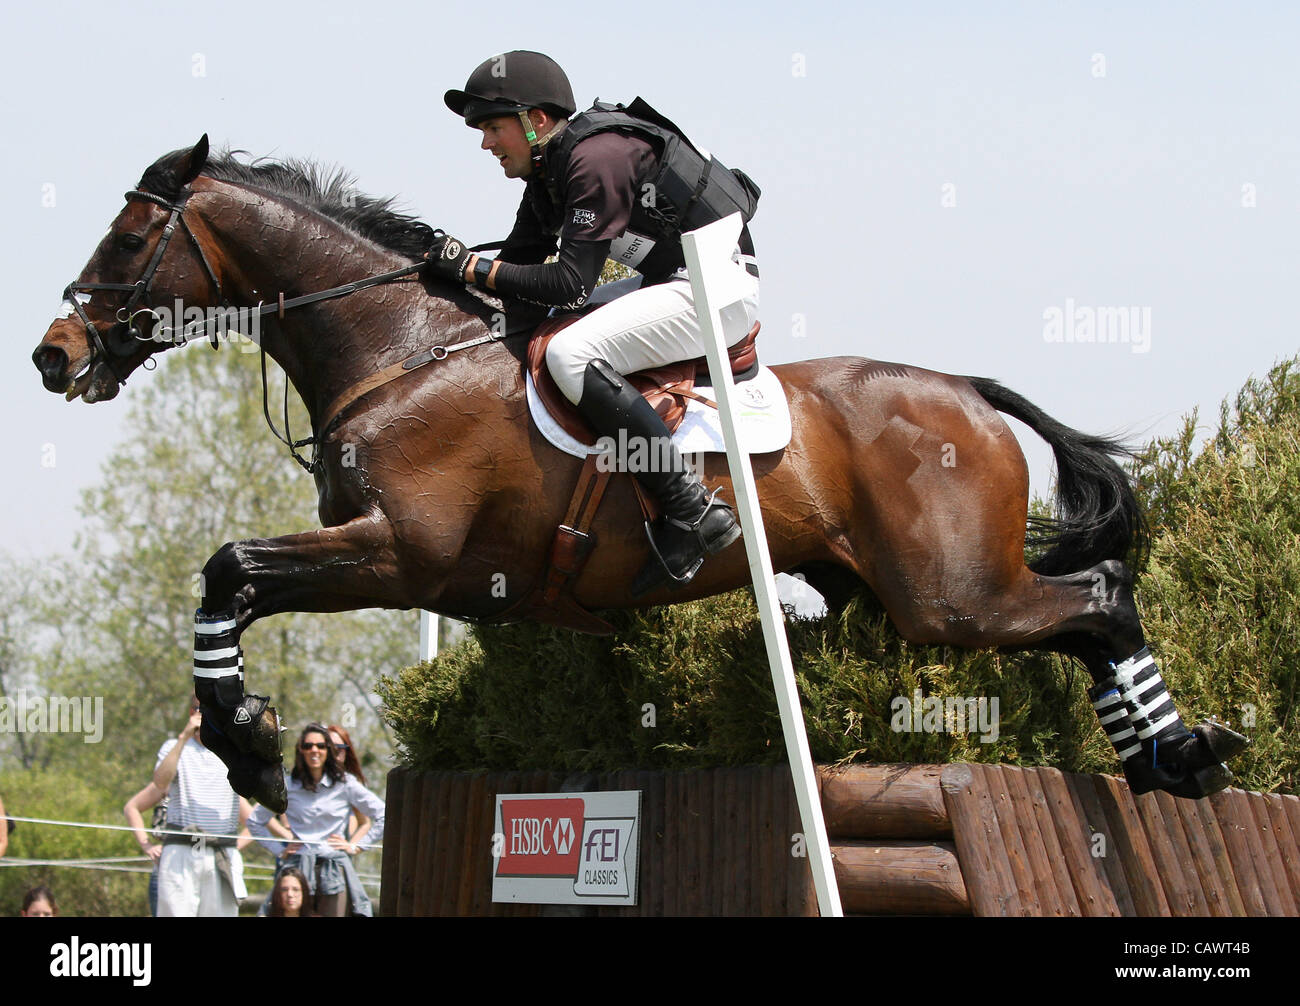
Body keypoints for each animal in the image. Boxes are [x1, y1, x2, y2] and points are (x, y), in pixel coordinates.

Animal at [32, 137, 1248, 816]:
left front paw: (249, 749)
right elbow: (230, 582)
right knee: (1083, 613)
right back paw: (1167, 757)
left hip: (952, 596)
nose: (53, 354)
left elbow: (227, 567)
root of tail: (964, 390)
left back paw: (1180, 755)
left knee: (1099, 597)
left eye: (131, 237)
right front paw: (249, 739)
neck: (399, 350)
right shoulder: (411, 571)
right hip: (890, 592)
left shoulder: (398, 557)